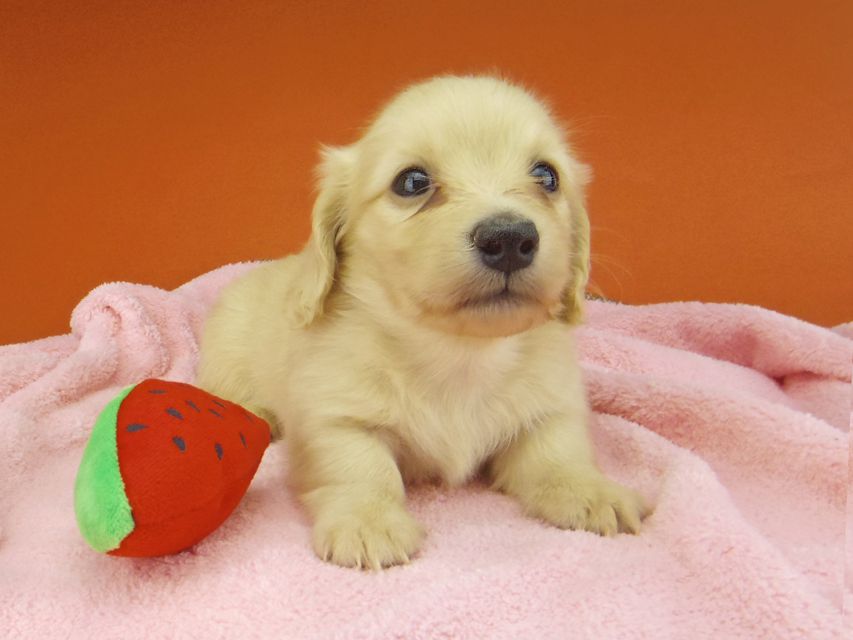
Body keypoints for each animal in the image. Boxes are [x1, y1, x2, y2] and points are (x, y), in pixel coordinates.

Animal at [197, 75, 648, 569]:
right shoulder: (333, 416)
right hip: (227, 353)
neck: (458, 352)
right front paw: (370, 521)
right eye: (412, 182)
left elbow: (557, 453)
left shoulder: (550, 407)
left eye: (547, 176)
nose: (510, 239)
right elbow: (361, 467)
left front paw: (591, 491)